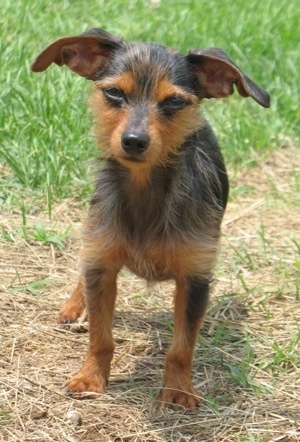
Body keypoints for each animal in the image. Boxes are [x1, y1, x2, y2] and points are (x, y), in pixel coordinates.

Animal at [31, 26, 270, 408]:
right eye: (114, 93)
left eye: (173, 102)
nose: (134, 141)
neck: (145, 190)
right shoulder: (102, 263)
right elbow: (101, 336)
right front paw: (90, 377)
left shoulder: (195, 280)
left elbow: (181, 347)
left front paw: (178, 390)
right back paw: (74, 305)